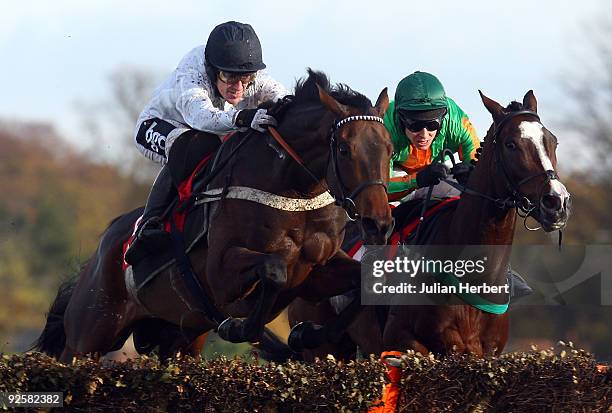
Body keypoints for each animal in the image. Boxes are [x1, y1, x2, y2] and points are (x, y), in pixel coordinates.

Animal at [33, 71, 394, 360]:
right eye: (344, 149)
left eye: (389, 148)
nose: (378, 222)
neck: (293, 191)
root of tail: (98, 252)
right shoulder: (222, 274)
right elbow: (273, 270)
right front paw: (240, 328)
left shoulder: (314, 271)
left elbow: (362, 281)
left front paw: (308, 333)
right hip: (88, 336)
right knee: (188, 137)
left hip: (177, 339)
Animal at [290, 89, 572, 358]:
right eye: (511, 144)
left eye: (553, 141)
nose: (557, 201)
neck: (474, 275)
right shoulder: (403, 340)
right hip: (324, 348)